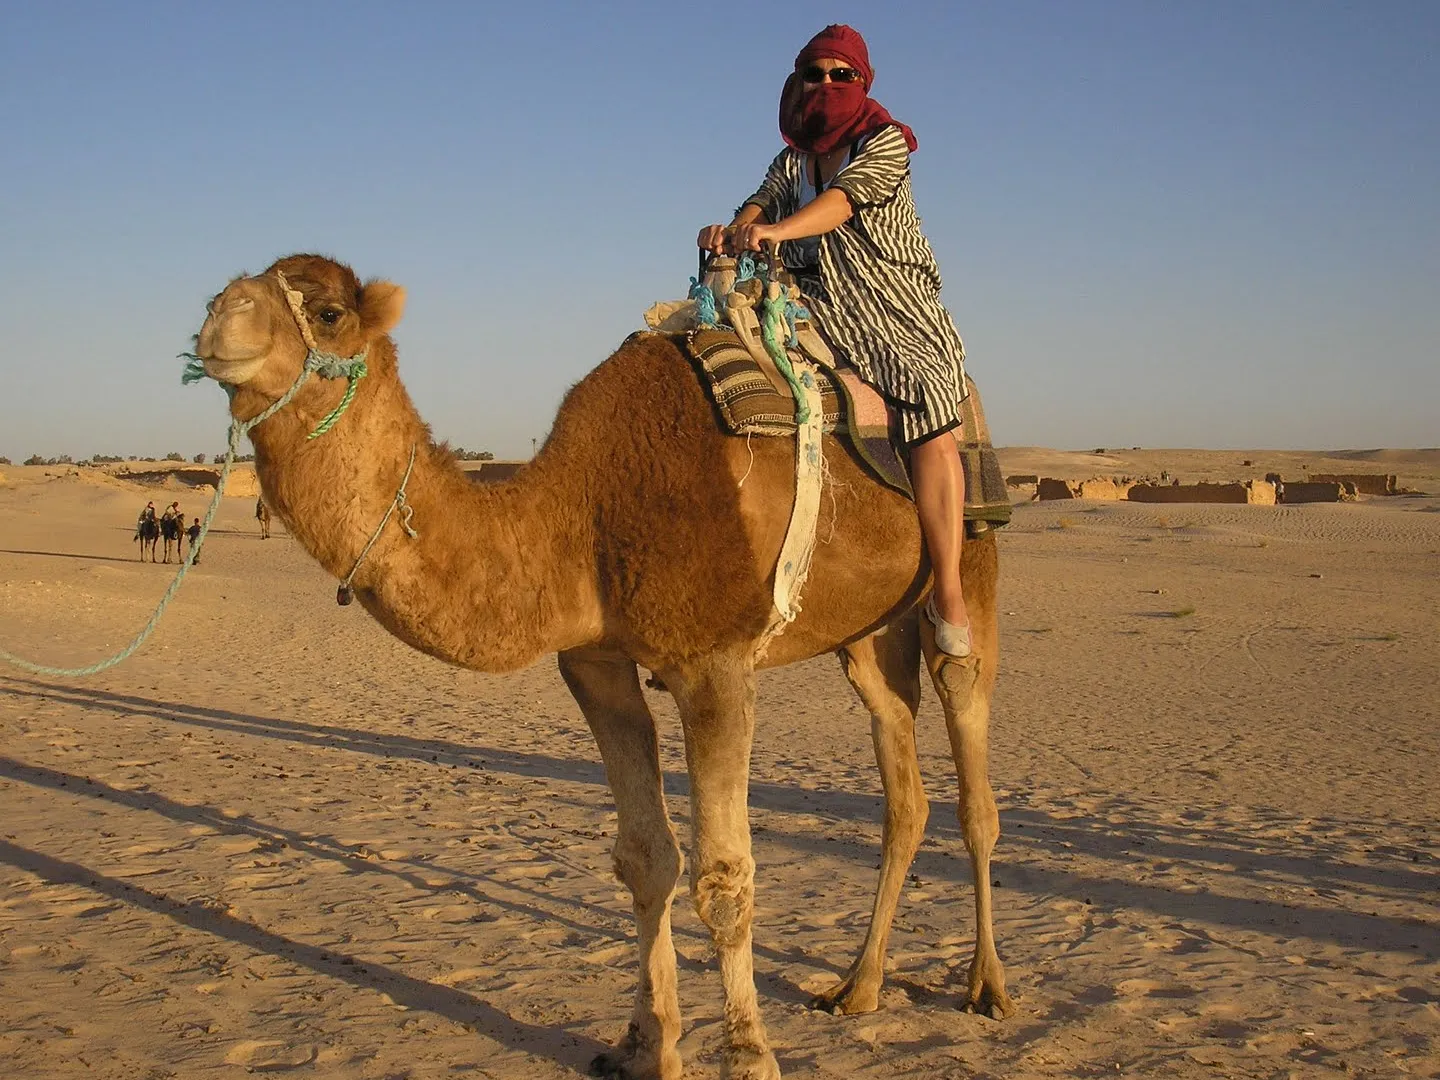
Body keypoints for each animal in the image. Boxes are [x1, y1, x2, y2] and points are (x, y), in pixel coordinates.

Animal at [197, 256, 1013, 1080]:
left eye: (327, 312)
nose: (220, 312)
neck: (580, 513)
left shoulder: (715, 663)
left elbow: (725, 878)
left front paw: (749, 1055)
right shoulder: (596, 665)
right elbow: (646, 859)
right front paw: (646, 1044)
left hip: (968, 569)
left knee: (972, 772)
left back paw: (987, 985)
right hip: (866, 634)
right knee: (901, 778)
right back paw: (860, 985)